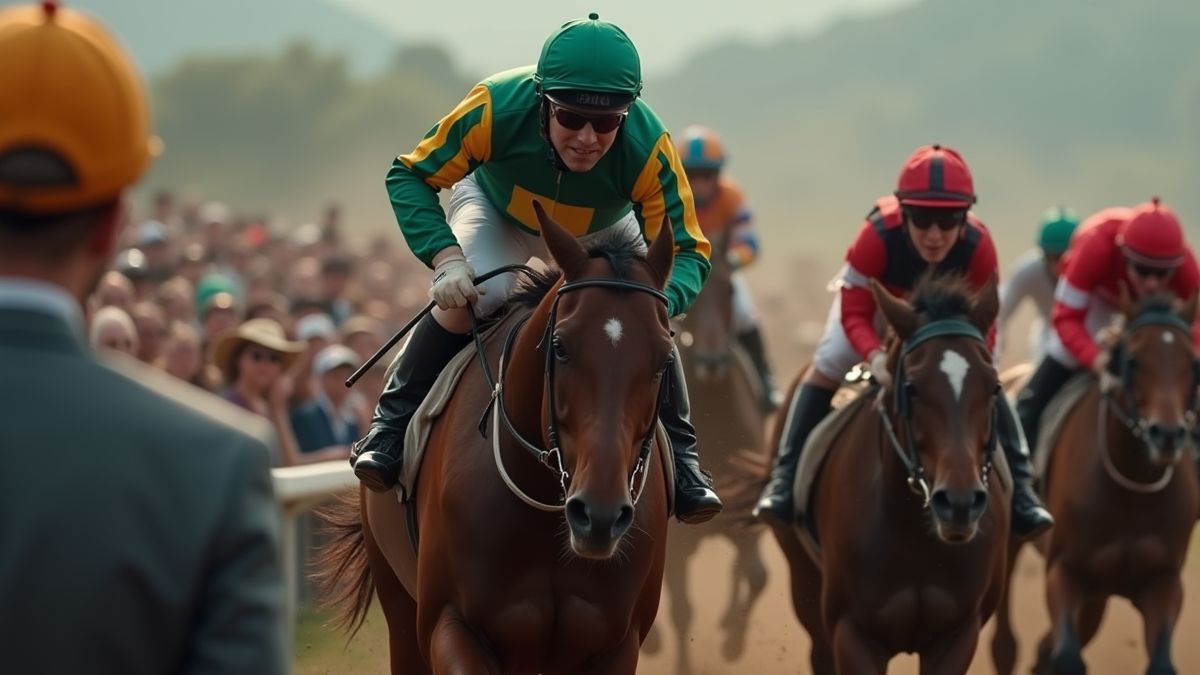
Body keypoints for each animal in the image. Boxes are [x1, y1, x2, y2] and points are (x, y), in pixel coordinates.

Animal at [318, 203, 676, 674]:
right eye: (560, 347)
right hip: (397, 603)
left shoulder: (617, 643)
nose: (598, 515)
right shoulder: (449, 624)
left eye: (665, 359)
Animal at [646, 227, 769, 672]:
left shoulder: (745, 511)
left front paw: (732, 639)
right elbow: (681, 607)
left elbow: (757, 575)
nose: (713, 361)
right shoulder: (679, 542)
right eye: (696, 299)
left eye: (730, 289)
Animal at [772, 273, 1010, 674]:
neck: (913, 533)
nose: (959, 503)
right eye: (911, 388)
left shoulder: (959, 633)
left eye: (994, 386)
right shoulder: (852, 631)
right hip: (802, 579)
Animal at [990, 293, 1200, 675]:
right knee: (1005, 644)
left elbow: (1161, 662)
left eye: (1194, 365)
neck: (1132, 489)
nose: (1167, 435)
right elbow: (1066, 655)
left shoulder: (1162, 579)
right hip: (1014, 543)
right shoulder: (1065, 571)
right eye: (1133, 361)